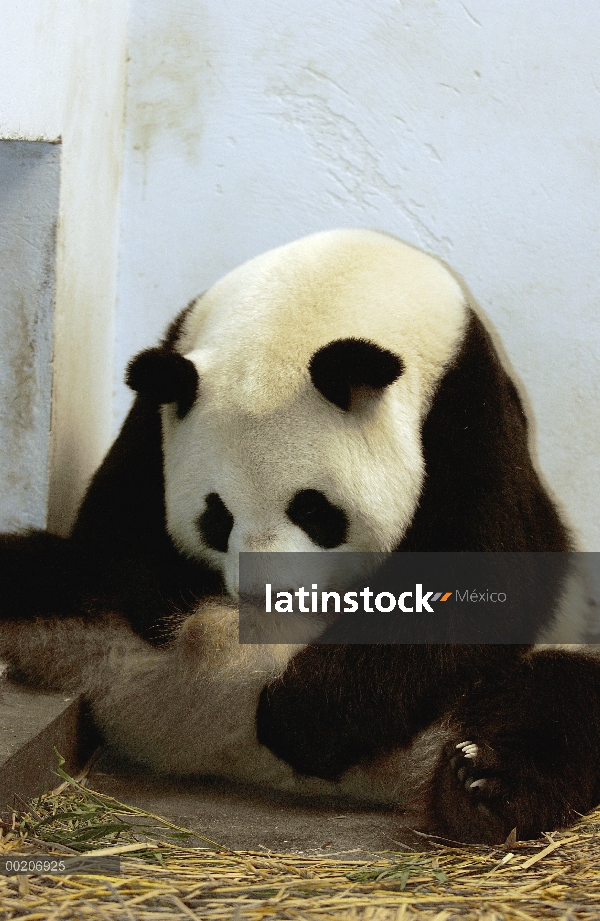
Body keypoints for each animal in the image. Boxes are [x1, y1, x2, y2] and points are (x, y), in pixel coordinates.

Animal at [1, 226, 600, 844]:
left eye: (314, 510)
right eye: (216, 517)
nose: (263, 601)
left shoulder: (465, 410)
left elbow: (483, 581)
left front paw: (304, 719)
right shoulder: (156, 409)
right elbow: (113, 536)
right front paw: (177, 605)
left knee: (555, 703)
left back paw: (480, 789)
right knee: (38, 570)